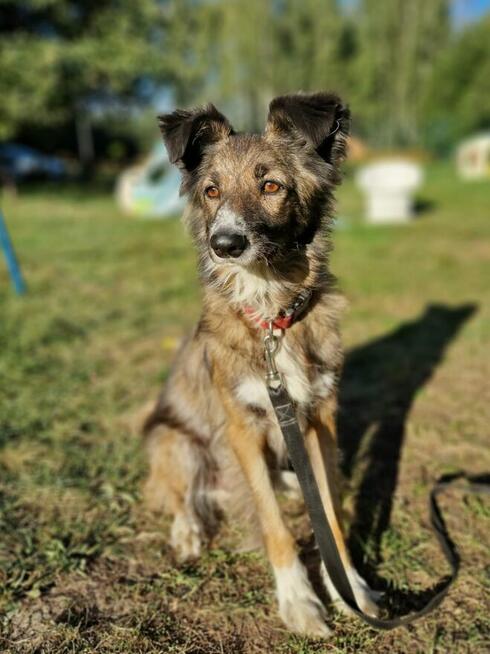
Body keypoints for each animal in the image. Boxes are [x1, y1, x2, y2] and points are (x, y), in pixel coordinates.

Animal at [142, 95, 378, 640]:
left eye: (270, 185)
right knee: (181, 494)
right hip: (173, 439)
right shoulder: (242, 426)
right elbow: (274, 526)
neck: (272, 315)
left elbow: (331, 512)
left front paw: (350, 588)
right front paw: (299, 600)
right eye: (211, 191)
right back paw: (188, 530)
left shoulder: (318, 416)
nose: (224, 243)